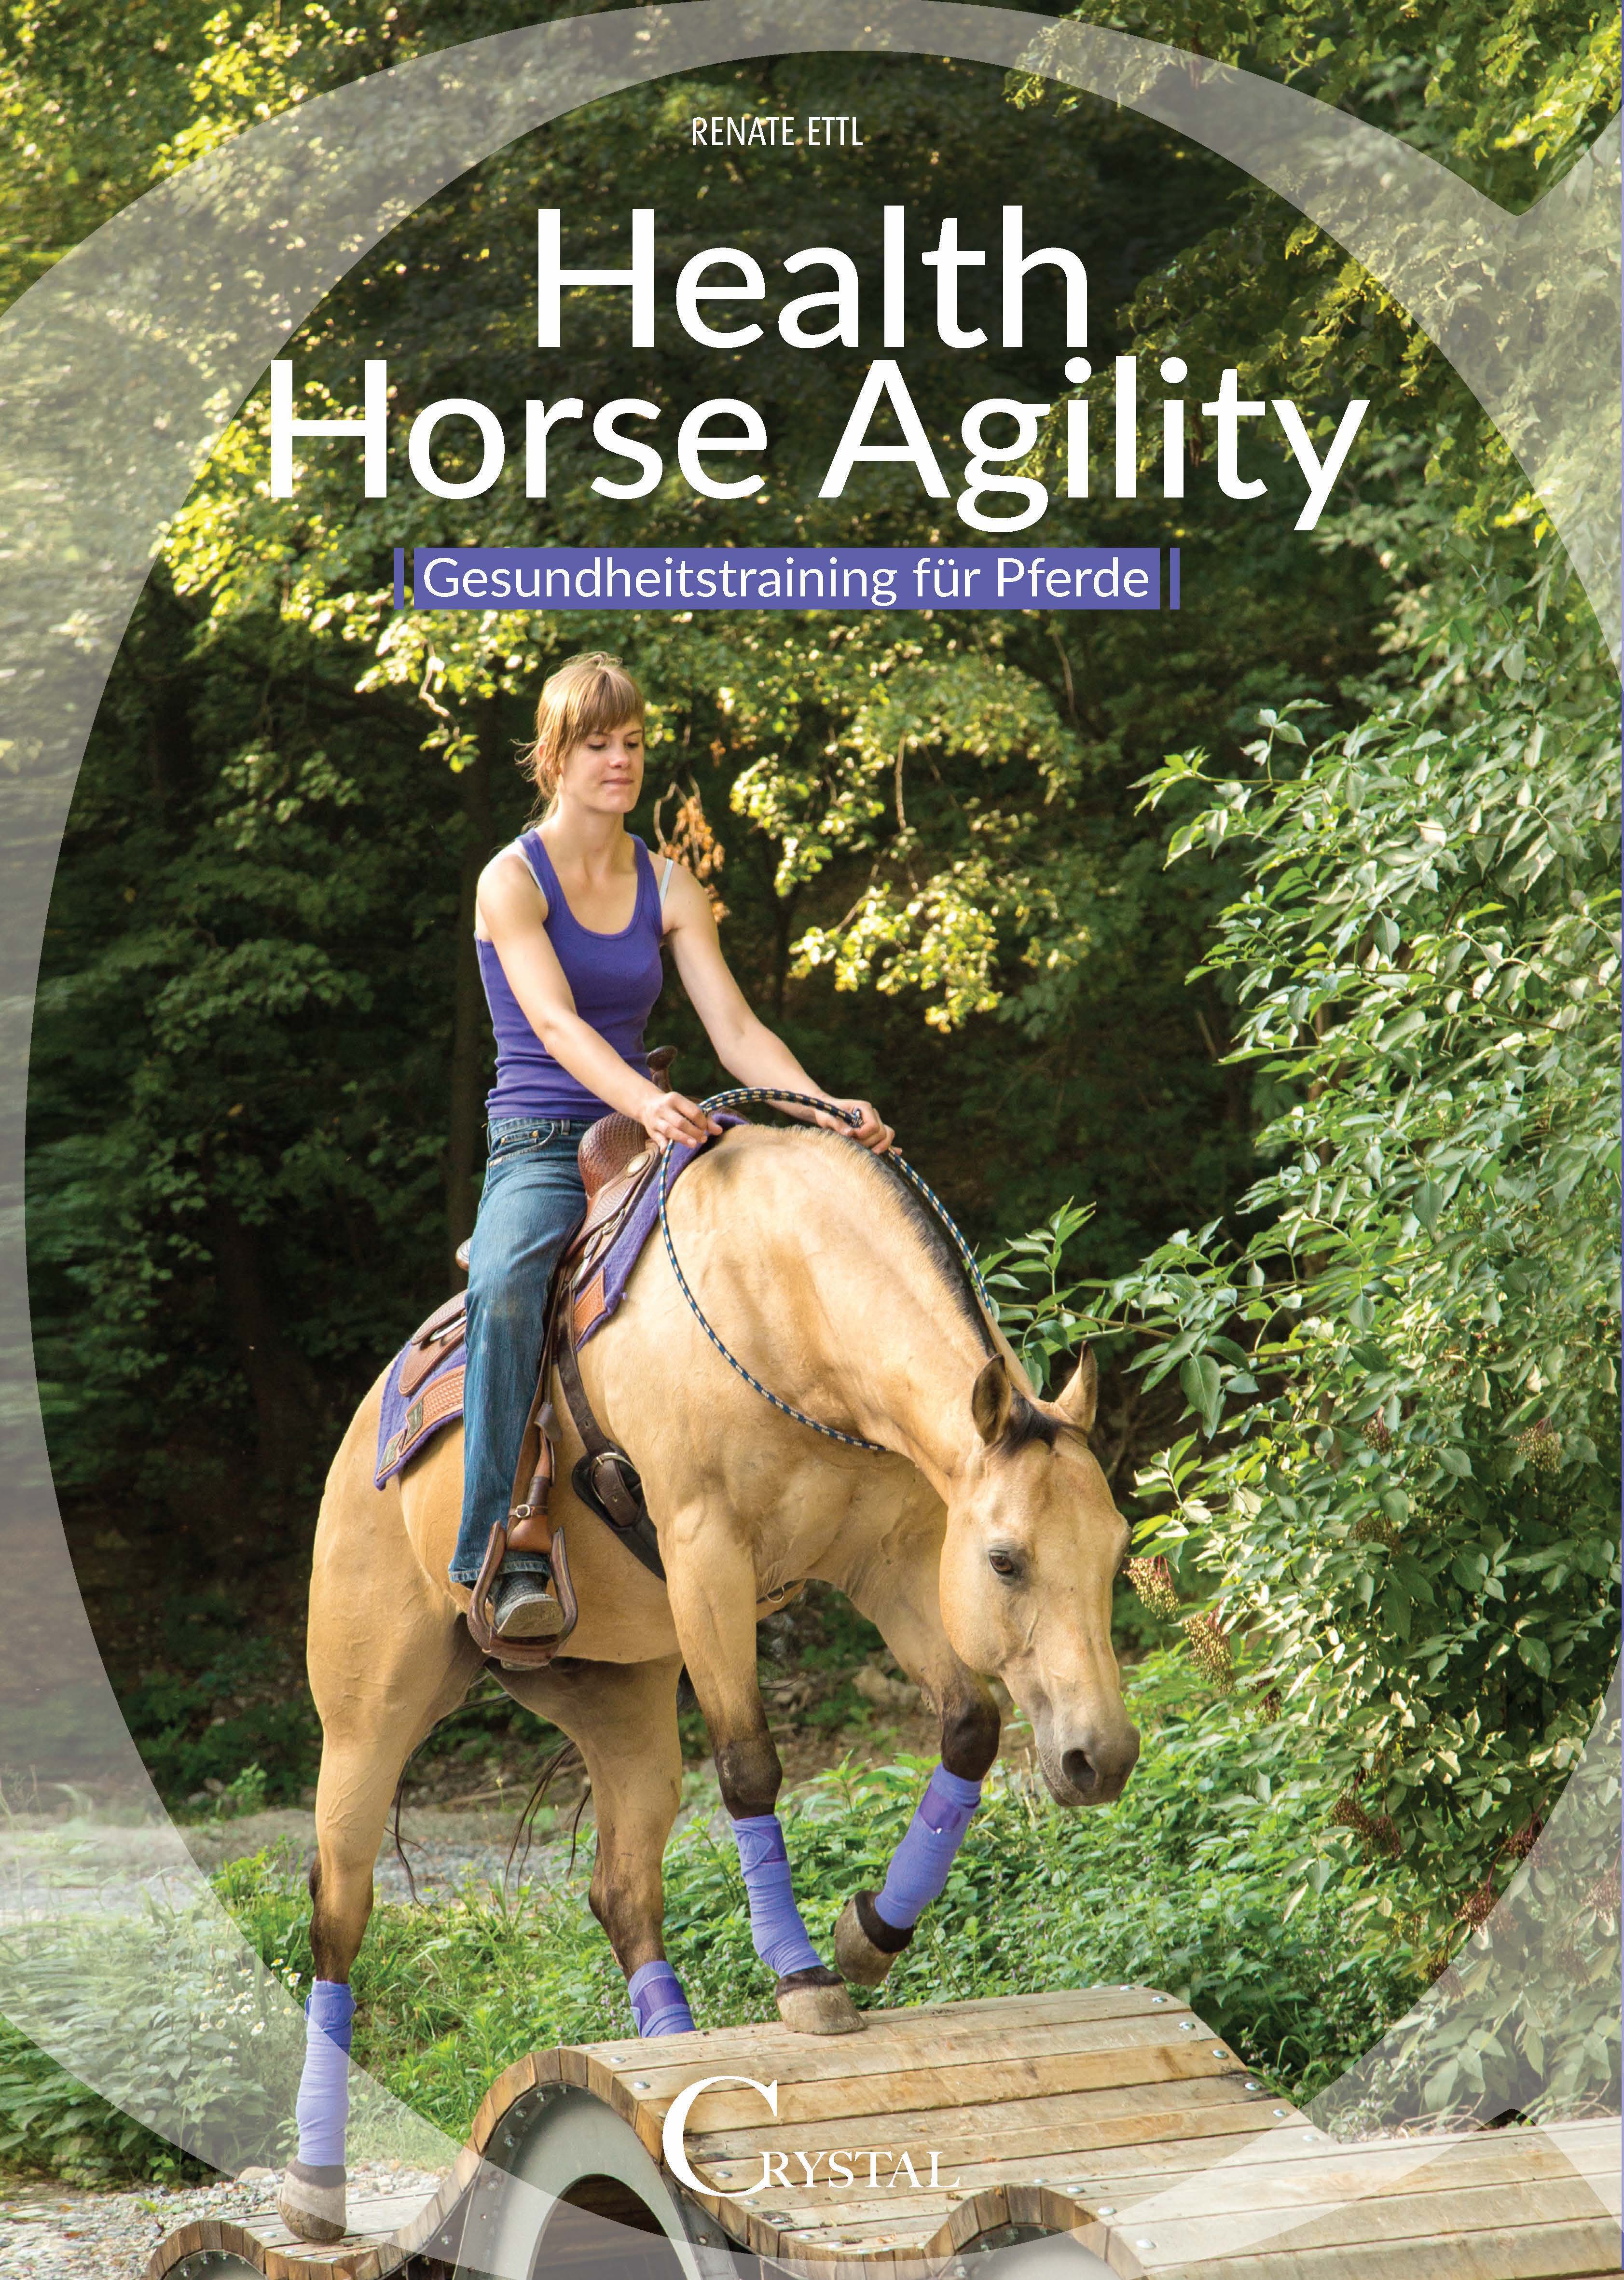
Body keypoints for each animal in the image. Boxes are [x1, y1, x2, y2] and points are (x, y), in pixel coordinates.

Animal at [280, 1121, 1141, 2242]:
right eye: (1006, 1560)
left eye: (1117, 1550)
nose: (1101, 1756)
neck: (785, 1302)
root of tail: (357, 1451)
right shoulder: (707, 1556)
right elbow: (751, 1767)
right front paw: (805, 1979)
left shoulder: (893, 1562)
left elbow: (968, 1728)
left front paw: (868, 1937)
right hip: (368, 1716)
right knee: (339, 1911)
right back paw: (314, 2187)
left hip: (625, 1701)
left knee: (621, 1889)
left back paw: (666, 2062)